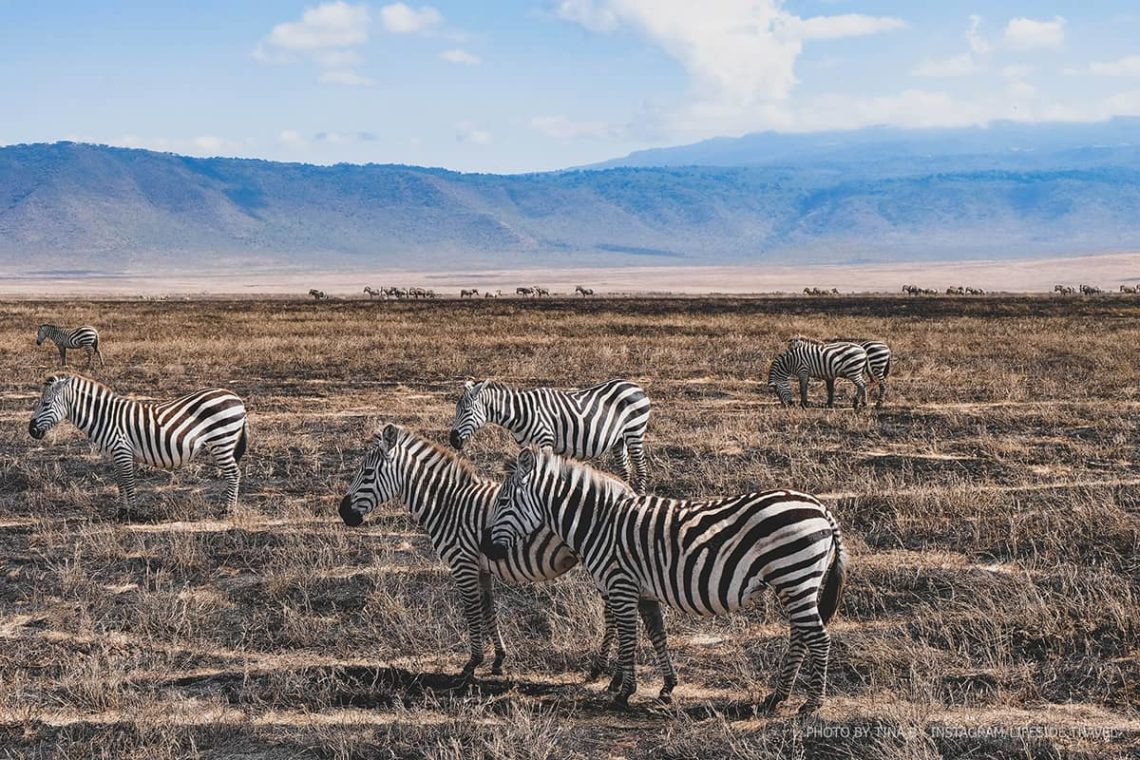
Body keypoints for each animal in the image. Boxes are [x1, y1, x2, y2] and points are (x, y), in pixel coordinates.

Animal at [27, 376, 248, 515]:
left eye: (45, 404)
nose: (31, 430)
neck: (105, 417)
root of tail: (236, 398)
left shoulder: (122, 450)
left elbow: (129, 481)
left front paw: (132, 512)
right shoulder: (116, 454)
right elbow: (120, 481)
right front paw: (121, 510)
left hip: (221, 441)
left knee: (234, 473)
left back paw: (228, 510)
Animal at [337, 426, 624, 679]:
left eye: (368, 473)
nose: (343, 513)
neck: (448, 505)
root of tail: (624, 487)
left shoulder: (462, 563)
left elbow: (472, 610)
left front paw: (472, 663)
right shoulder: (482, 567)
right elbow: (488, 609)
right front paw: (498, 660)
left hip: (601, 561)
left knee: (613, 611)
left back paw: (602, 668)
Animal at [449, 378, 656, 496]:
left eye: (466, 411)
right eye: (456, 410)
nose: (453, 440)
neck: (522, 413)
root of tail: (636, 385)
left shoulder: (545, 442)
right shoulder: (525, 445)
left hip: (635, 433)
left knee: (641, 467)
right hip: (618, 440)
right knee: (625, 469)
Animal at [481, 446, 848, 715]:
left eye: (503, 501)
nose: (486, 547)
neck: (600, 523)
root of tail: (821, 508)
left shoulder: (621, 585)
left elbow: (629, 639)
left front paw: (623, 693)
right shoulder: (644, 591)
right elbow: (658, 634)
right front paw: (667, 686)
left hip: (794, 576)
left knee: (818, 638)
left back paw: (811, 704)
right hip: (796, 582)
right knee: (800, 636)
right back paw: (777, 697)